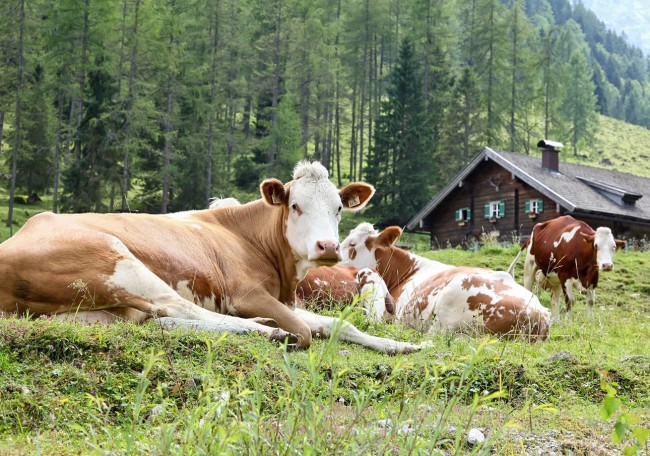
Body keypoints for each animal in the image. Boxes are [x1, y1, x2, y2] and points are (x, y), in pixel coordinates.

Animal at [0, 161, 420, 354]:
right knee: (176, 308)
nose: (328, 248)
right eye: (296, 206)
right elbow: (303, 331)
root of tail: (29, 226)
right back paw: (267, 329)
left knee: (157, 318)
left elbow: (338, 324)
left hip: (94, 310)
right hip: (118, 263)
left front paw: (401, 346)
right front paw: (283, 330)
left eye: (338, 208)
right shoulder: (244, 294)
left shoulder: (283, 300)